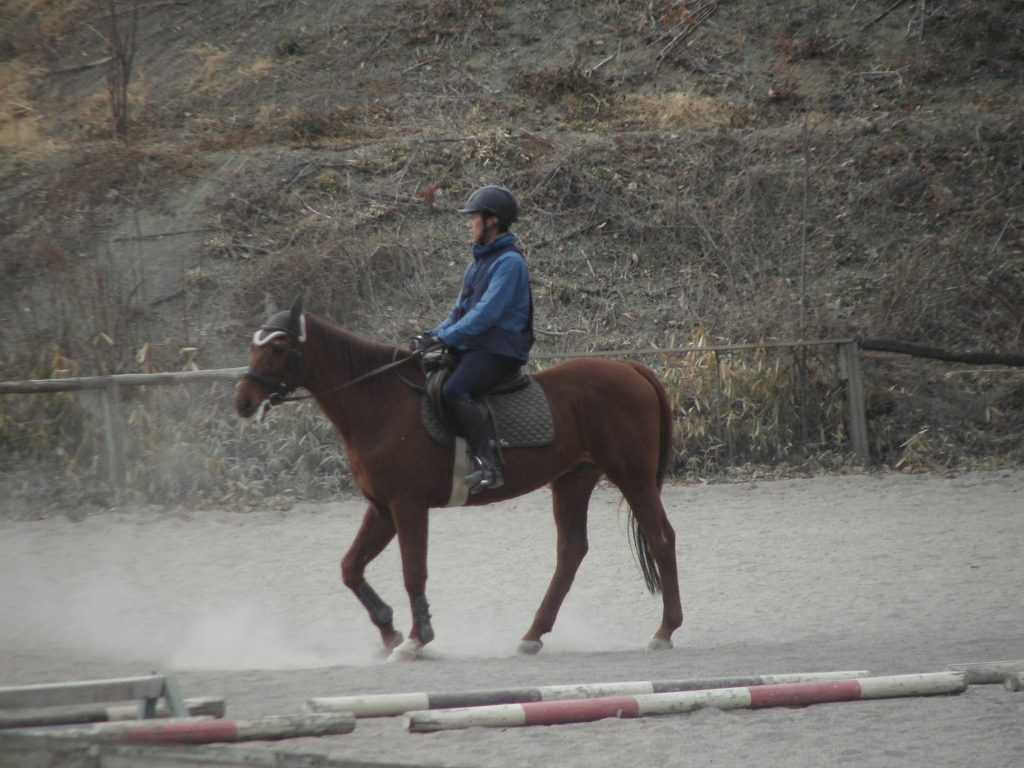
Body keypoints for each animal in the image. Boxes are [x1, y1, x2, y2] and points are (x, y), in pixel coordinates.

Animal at [234, 297, 683, 660]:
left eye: (277, 347)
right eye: (253, 345)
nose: (243, 403)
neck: (381, 403)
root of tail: (630, 366)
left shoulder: (407, 505)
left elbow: (413, 569)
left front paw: (416, 639)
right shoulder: (382, 508)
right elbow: (351, 567)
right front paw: (388, 629)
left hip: (632, 476)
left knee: (660, 537)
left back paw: (665, 631)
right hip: (572, 481)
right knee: (571, 551)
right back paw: (533, 634)